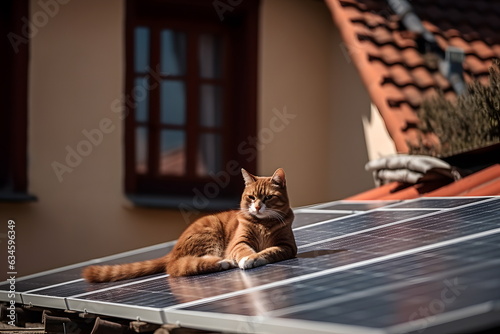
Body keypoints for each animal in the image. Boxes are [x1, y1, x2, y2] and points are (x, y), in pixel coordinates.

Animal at [82, 167, 296, 282]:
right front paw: (248, 258)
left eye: (268, 198)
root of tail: (172, 250)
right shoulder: (238, 243)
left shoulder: (287, 246)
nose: (258, 206)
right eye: (251, 197)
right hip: (210, 232)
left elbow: (270, 251)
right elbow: (245, 250)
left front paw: (256, 257)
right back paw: (221, 261)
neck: (263, 224)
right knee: (178, 267)